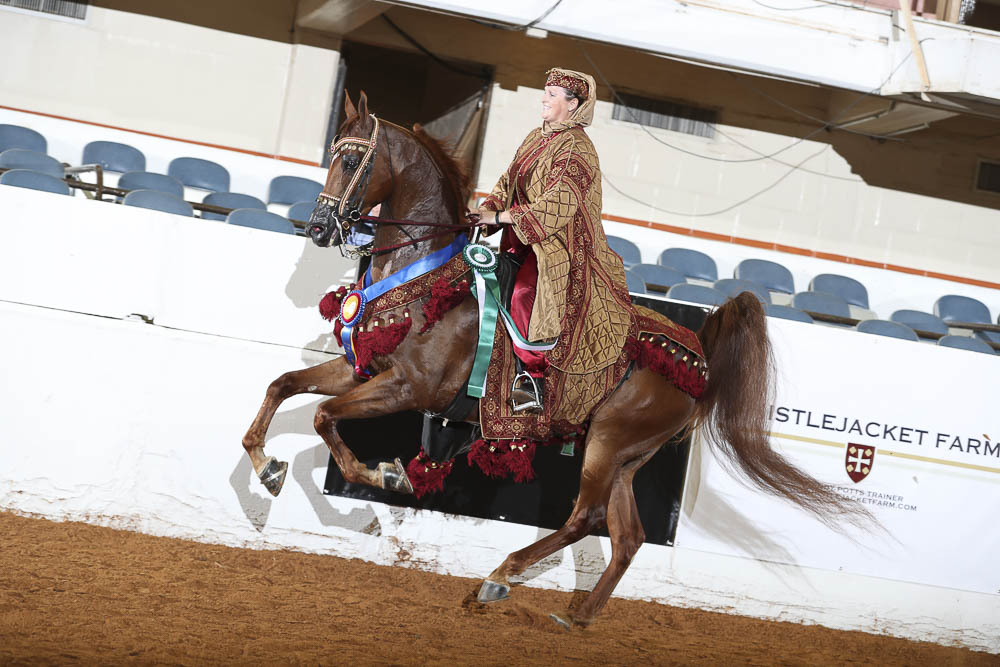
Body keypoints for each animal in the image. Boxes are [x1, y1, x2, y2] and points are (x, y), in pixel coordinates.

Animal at [241, 91, 863, 627]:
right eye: (332, 155)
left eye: (352, 161)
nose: (319, 227)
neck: (429, 274)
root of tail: (699, 358)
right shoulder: (362, 368)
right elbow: (283, 385)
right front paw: (269, 468)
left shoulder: (408, 387)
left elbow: (324, 417)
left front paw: (384, 473)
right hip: (624, 457)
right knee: (628, 536)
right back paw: (577, 616)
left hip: (607, 443)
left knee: (584, 519)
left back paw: (501, 576)